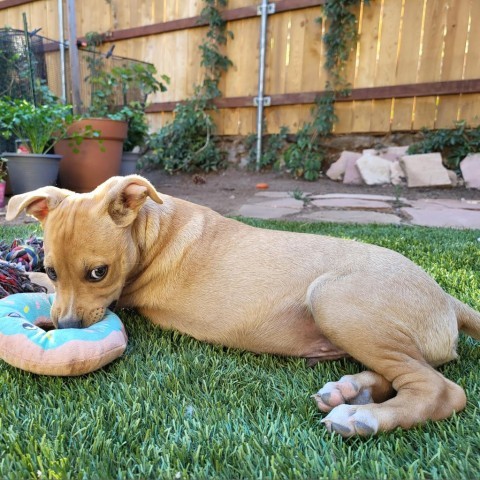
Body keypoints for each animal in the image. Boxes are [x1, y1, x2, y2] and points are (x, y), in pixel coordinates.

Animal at [6, 175, 480, 436]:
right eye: (52, 270)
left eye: (98, 273)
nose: (66, 328)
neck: (150, 229)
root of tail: (447, 298)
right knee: (409, 372)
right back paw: (350, 391)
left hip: (334, 298)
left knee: (440, 388)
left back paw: (363, 416)